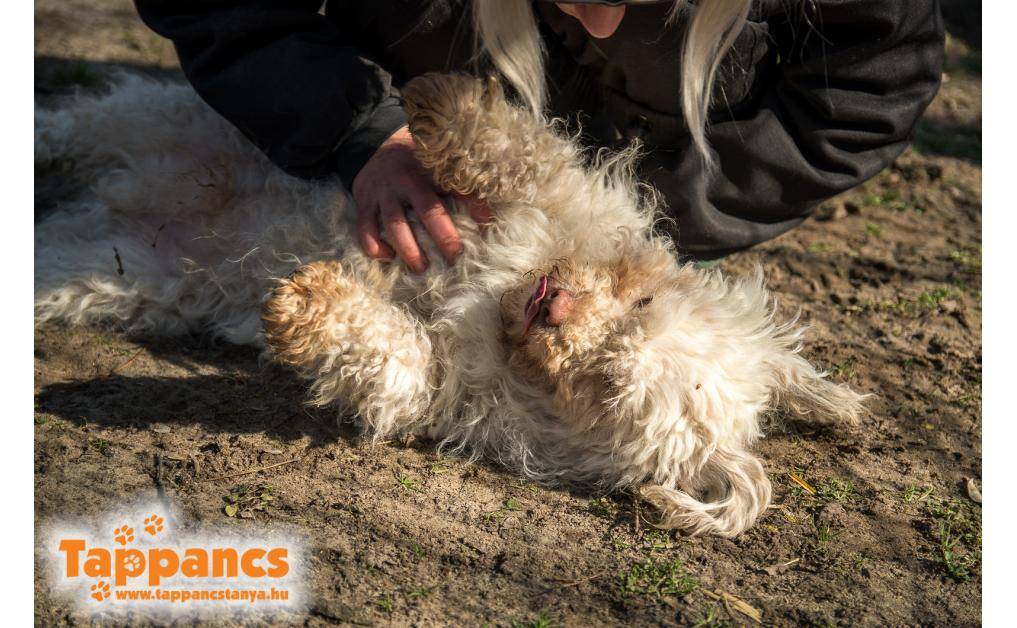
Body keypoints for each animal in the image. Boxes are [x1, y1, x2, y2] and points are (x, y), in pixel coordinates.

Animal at [35, 72, 865, 537]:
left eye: (607, 384)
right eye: (642, 303)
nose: (552, 308)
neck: (490, 301)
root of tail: (123, 197)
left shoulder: (436, 386)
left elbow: (382, 354)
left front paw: (309, 301)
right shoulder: (549, 200)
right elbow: (520, 155)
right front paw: (439, 102)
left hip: (107, 269)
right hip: (152, 124)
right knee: (68, 127)